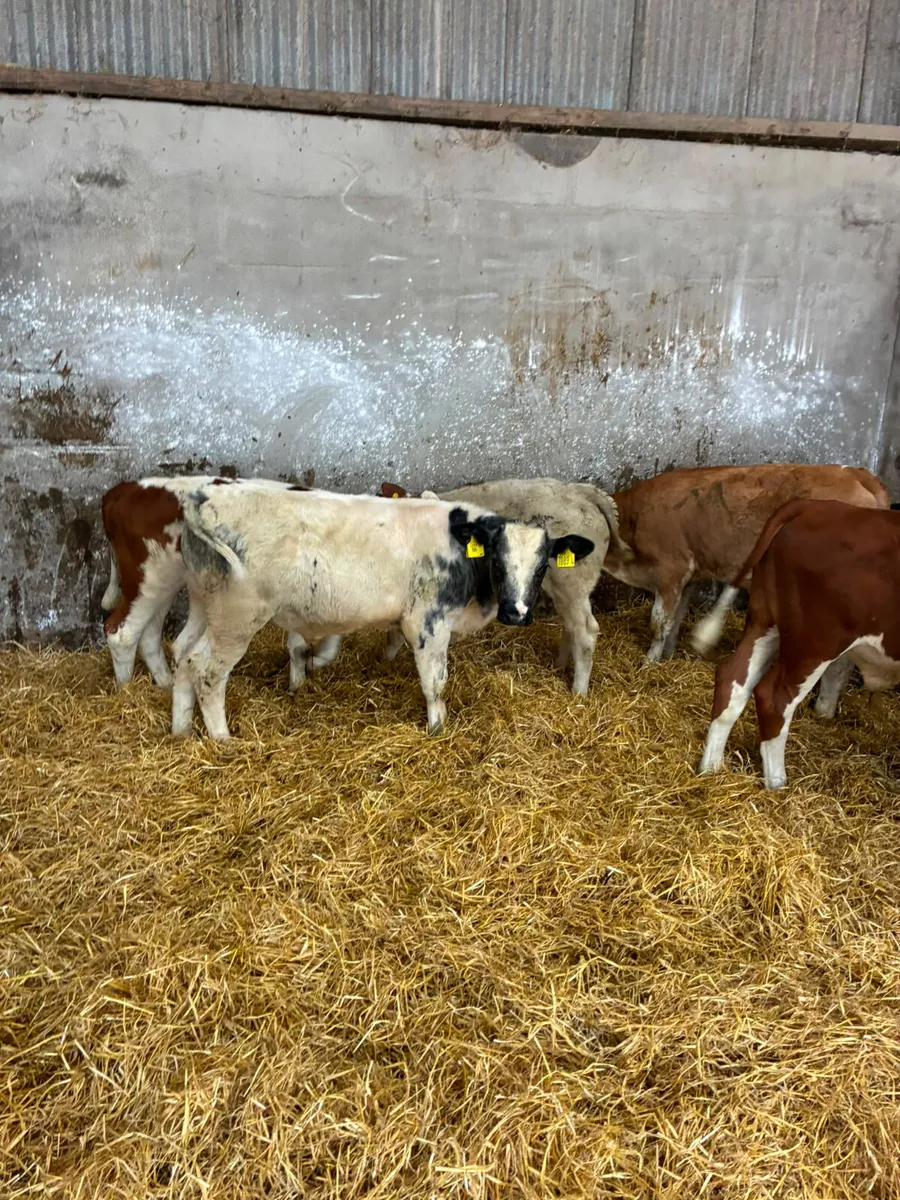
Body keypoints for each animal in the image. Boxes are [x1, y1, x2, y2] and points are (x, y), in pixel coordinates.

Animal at [100, 476, 338, 689]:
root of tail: (125, 489)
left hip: (164, 582)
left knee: (149, 634)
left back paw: (166, 686)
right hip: (147, 578)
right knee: (122, 634)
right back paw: (126, 690)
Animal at [171, 485, 594, 739]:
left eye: (541, 568)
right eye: (498, 561)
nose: (517, 613)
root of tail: (204, 498)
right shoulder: (427, 622)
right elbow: (435, 683)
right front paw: (437, 729)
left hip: (203, 605)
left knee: (182, 654)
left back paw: (181, 729)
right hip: (237, 617)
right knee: (206, 670)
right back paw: (222, 739)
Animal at [378, 478, 631, 695]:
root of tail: (583, 491)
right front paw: (385, 662)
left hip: (572, 583)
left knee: (586, 631)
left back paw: (578, 692)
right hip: (566, 590)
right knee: (572, 626)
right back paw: (559, 666)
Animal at [599, 463, 889, 662]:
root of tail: (855, 473)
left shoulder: (671, 568)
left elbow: (659, 623)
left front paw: (649, 663)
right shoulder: (690, 575)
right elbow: (677, 618)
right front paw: (668, 657)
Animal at [694, 499, 900, 789]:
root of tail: (813, 506)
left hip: (765, 622)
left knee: (732, 680)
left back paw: (711, 769)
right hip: (815, 642)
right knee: (774, 699)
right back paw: (777, 784)